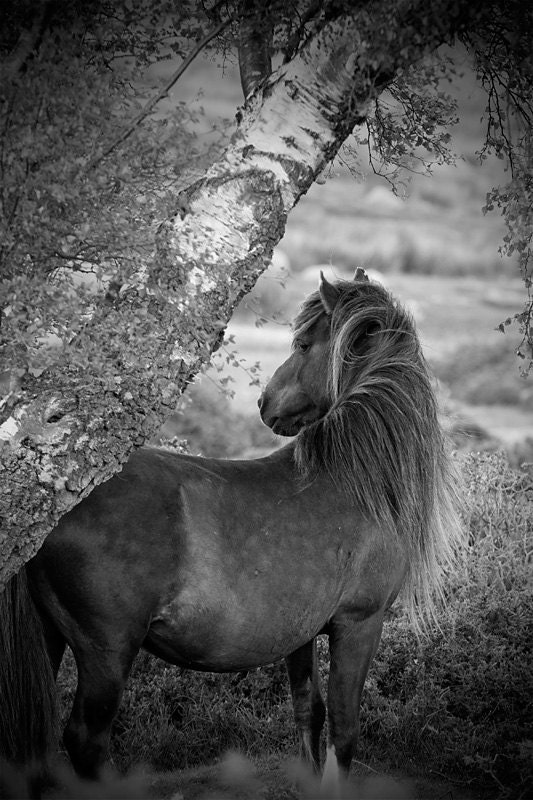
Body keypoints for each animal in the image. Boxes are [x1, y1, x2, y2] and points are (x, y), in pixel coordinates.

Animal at [0, 270, 463, 791]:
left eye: (304, 345)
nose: (264, 404)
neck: (354, 479)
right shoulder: (360, 623)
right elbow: (344, 729)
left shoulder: (301, 635)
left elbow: (309, 714)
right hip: (106, 652)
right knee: (85, 739)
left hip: (49, 637)